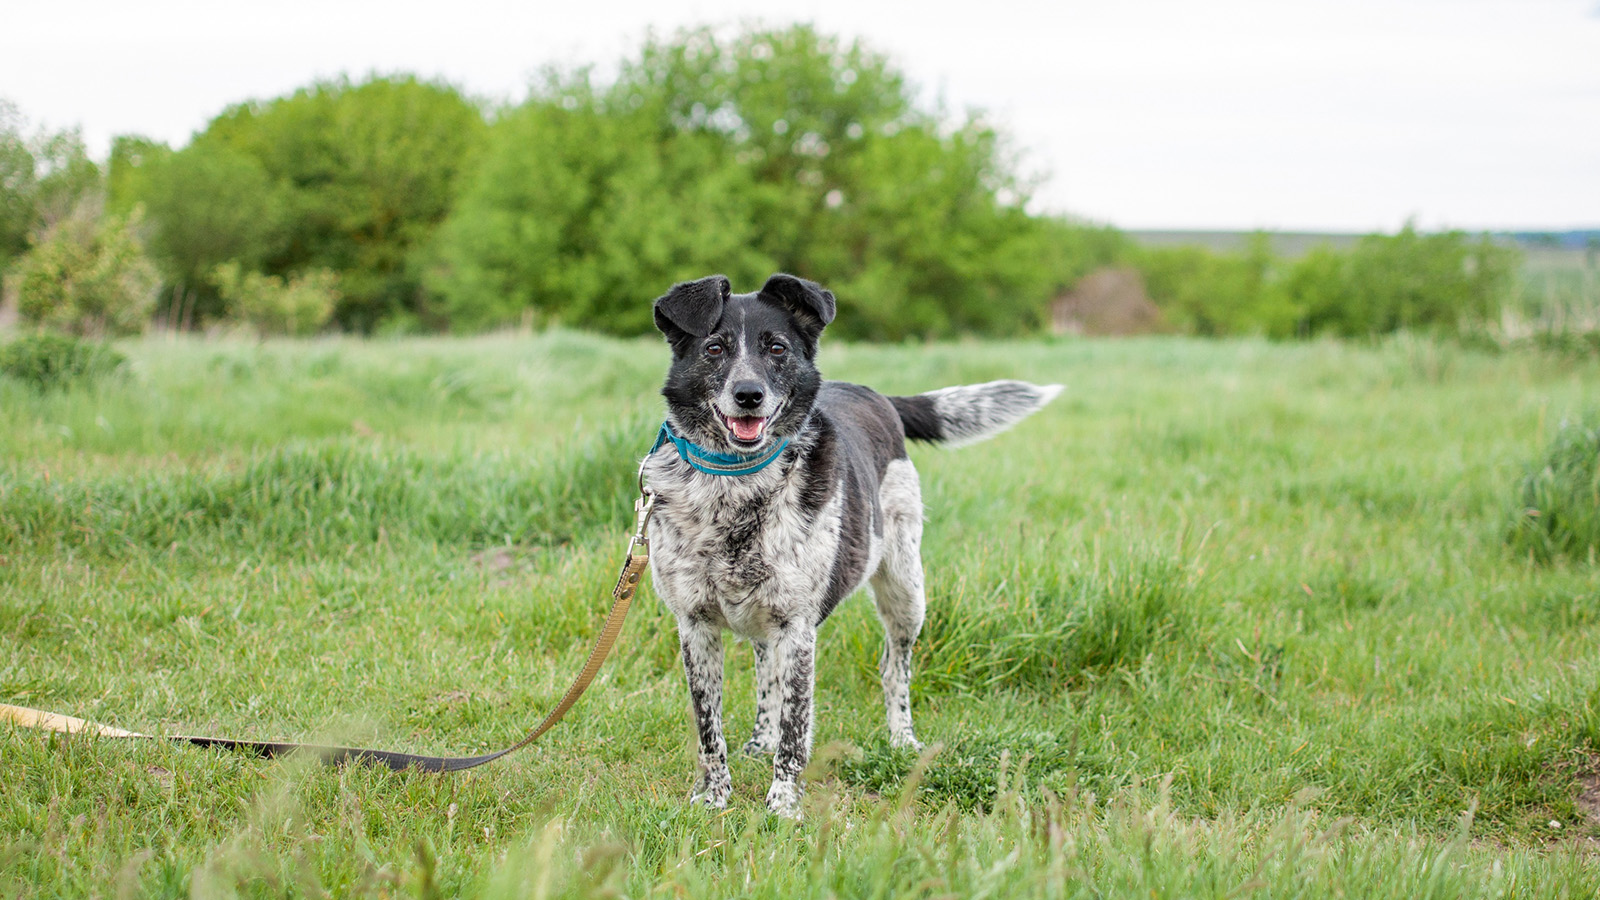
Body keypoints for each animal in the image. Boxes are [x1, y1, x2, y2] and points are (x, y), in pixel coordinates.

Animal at [636, 272, 1062, 813]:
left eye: (777, 348)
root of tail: (880, 397)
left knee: (893, 668)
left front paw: (783, 809)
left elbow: (796, 728)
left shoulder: (797, 628)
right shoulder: (695, 625)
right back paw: (758, 742)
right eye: (714, 348)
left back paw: (902, 740)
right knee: (766, 676)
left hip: (906, 589)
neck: (736, 485)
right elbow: (710, 729)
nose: (749, 394)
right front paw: (713, 800)